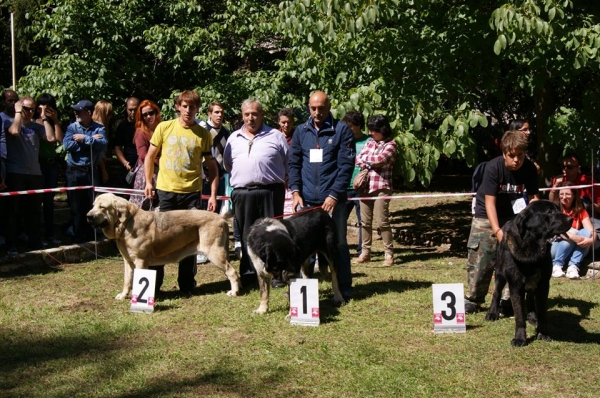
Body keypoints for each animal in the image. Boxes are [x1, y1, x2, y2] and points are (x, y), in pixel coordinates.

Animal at [87, 193, 241, 298]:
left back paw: (234, 291)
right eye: (93, 205)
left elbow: (137, 280)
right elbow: (127, 280)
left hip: (215, 253)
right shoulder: (128, 261)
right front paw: (124, 295)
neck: (127, 223)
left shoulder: (140, 261)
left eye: (102, 207)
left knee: (232, 272)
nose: (88, 216)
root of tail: (220, 218)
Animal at [482, 201, 572, 346]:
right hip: (500, 273)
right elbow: (519, 315)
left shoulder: (543, 285)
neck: (533, 249)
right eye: (550, 212)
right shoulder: (515, 285)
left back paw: (531, 316)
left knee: (529, 297)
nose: (571, 219)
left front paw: (542, 333)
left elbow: (541, 312)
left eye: (558, 209)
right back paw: (493, 313)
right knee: (497, 292)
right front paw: (520, 339)